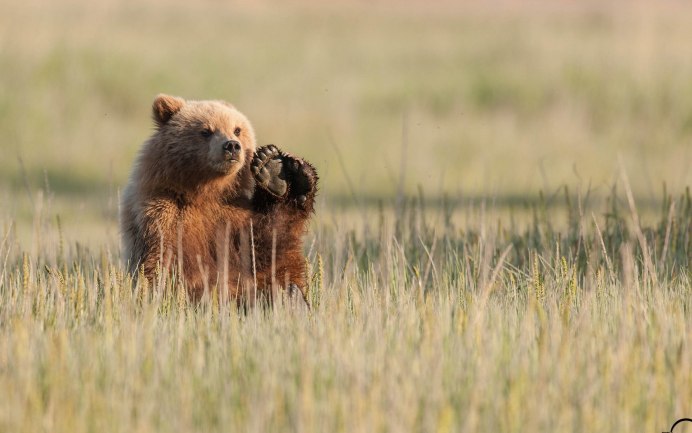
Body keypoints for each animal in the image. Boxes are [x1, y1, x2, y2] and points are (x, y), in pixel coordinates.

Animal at [120, 94, 317, 305]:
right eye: (206, 131)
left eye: (237, 129)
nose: (231, 145)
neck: (204, 191)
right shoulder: (163, 215)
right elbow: (168, 265)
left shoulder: (233, 216)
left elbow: (264, 249)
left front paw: (272, 166)